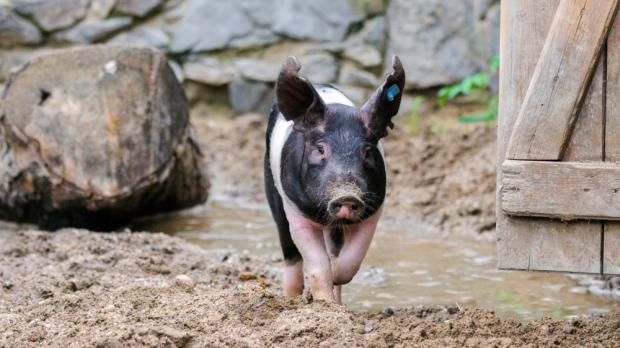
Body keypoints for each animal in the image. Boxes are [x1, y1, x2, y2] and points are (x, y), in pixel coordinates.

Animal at [262, 55, 404, 304]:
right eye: (320, 149)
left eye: (367, 151)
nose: (347, 195)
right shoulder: (296, 211)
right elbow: (318, 264)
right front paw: (322, 302)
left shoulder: (373, 212)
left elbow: (351, 260)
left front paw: (335, 281)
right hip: (272, 190)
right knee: (289, 249)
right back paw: (291, 297)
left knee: (334, 249)